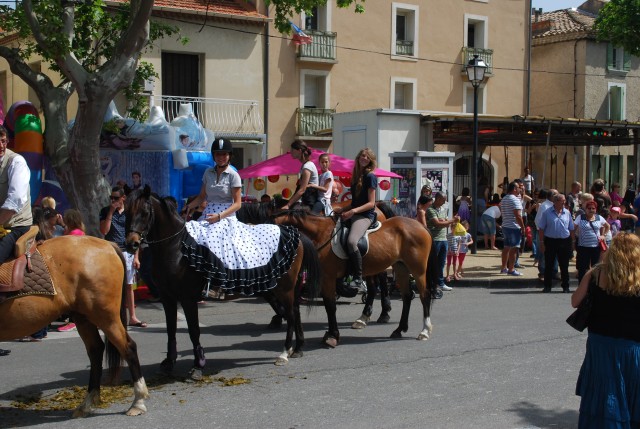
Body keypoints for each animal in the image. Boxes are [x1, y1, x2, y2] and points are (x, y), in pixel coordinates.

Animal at [0, 236, 148, 416]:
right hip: (83, 317)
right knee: (96, 351)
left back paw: (138, 402)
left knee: (128, 348)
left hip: (106, 317)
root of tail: (107, 244)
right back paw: (87, 403)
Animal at [124, 187, 320, 378]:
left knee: (291, 314)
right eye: (126, 211)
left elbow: (194, 330)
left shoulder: (188, 298)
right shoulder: (168, 298)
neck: (175, 247)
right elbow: (170, 328)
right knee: (295, 312)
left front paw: (198, 365)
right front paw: (168, 362)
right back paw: (298, 348)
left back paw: (284, 352)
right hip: (288, 288)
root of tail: (295, 234)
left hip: (284, 288)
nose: (131, 244)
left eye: (145, 212)